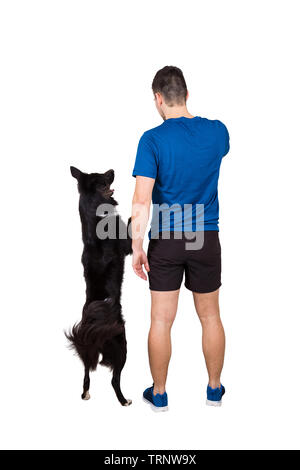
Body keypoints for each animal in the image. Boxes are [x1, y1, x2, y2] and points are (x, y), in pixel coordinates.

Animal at [65, 167, 132, 406]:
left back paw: (85, 393)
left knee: (86, 373)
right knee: (114, 379)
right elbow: (131, 223)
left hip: (88, 352)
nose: (112, 170)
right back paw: (124, 400)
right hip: (122, 346)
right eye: (103, 177)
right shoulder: (127, 245)